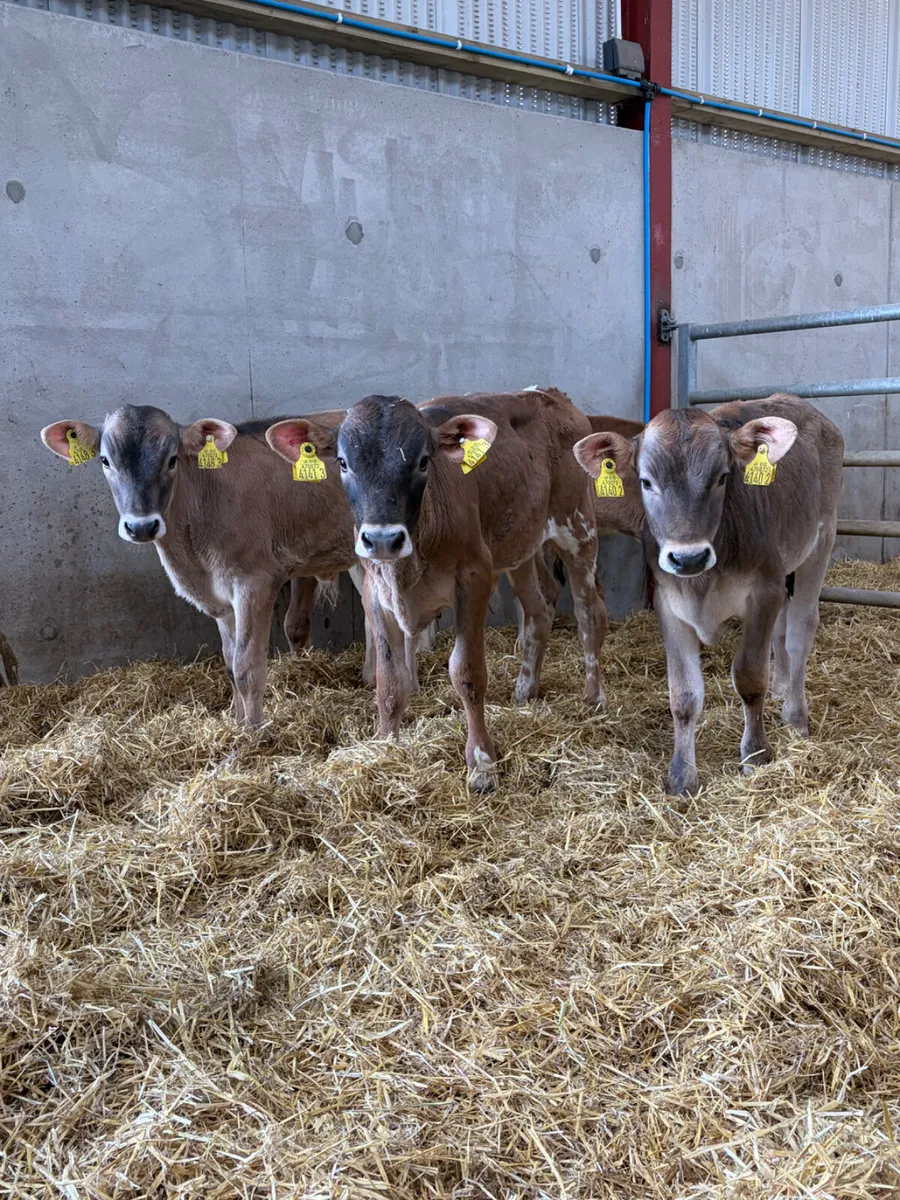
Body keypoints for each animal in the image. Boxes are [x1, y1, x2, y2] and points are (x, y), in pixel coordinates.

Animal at [40, 406, 427, 726]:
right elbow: (229, 663)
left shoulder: (255, 582)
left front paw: (253, 733)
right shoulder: (219, 599)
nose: (141, 526)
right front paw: (237, 722)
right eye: (105, 461)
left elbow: (246, 667)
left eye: (171, 460)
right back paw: (369, 677)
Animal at [267, 389, 608, 791]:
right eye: (343, 462)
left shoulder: (474, 578)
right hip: (518, 548)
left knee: (589, 614)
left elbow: (467, 673)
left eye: (423, 461)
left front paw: (482, 764)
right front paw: (385, 748)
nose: (383, 539)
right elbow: (388, 682)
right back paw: (525, 691)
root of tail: (549, 394)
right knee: (539, 611)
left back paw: (594, 698)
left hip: (578, 527)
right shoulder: (374, 593)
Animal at [573, 394, 843, 795]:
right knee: (782, 631)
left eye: (723, 477)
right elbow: (684, 695)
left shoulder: (764, 590)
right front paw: (681, 777)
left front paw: (756, 755)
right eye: (645, 481)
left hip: (820, 543)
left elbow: (750, 677)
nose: (689, 557)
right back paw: (781, 690)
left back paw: (795, 715)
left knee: (799, 632)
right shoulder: (669, 602)